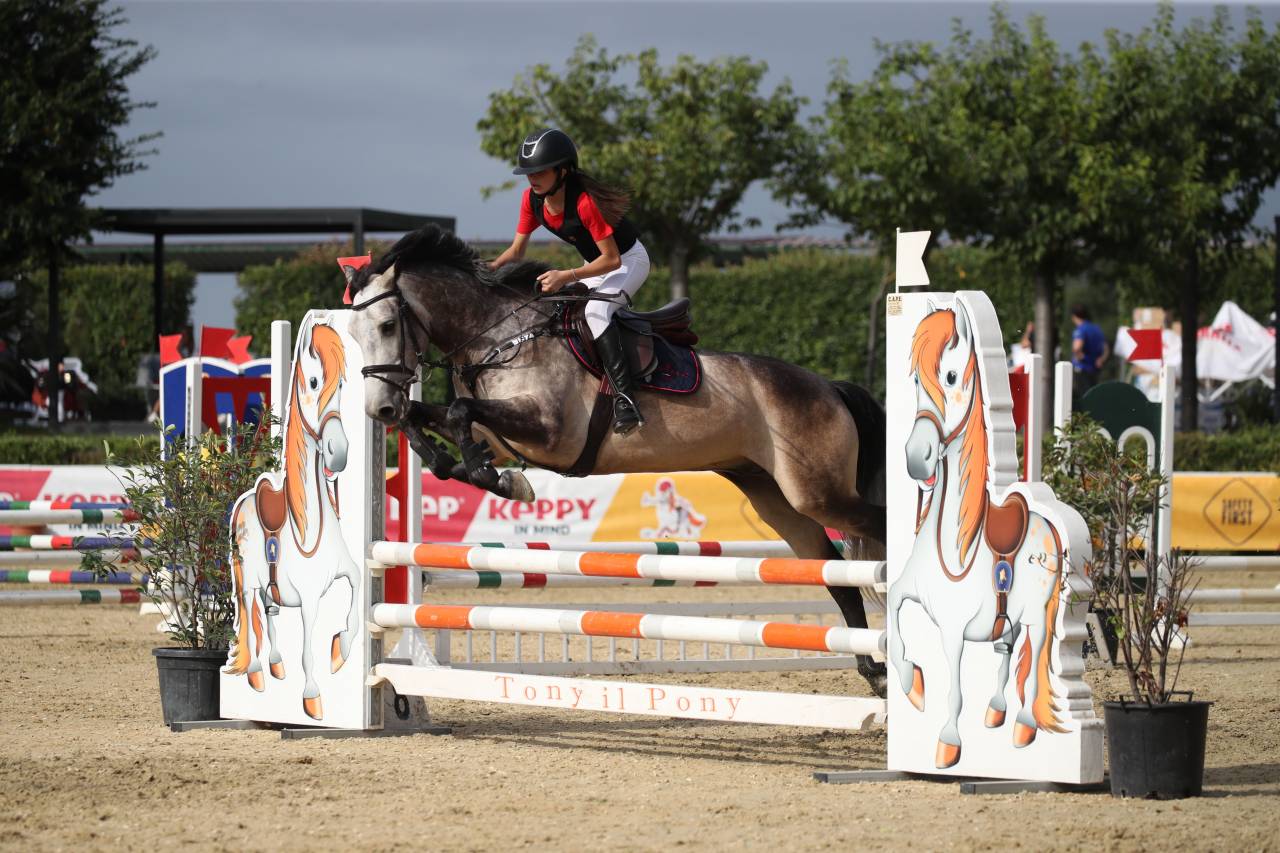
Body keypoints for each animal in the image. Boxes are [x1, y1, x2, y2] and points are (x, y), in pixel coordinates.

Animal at [224, 317, 361, 721]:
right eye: (314, 382)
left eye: (342, 385)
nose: (338, 452)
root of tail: (245, 499)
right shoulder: (310, 599)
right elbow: (307, 651)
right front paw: (313, 697)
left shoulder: (348, 571)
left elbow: (357, 596)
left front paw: (340, 652)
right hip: (246, 582)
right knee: (251, 618)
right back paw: (256, 672)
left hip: (267, 587)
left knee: (267, 614)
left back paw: (275, 663)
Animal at [344, 225, 890, 695]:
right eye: (353, 334)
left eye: (388, 325)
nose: (377, 408)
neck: (499, 336)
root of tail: (829, 387)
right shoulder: (501, 434)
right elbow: (430, 420)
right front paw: (478, 471)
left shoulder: (550, 432)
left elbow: (459, 413)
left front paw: (490, 476)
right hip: (776, 497)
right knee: (837, 577)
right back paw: (875, 672)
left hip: (818, 492)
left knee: (873, 534)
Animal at [888, 298, 1068, 768]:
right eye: (916, 380)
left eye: (951, 377)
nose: (916, 457)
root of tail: (1047, 524)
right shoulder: (905, 591)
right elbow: (891, 622)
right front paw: (913, 685)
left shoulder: (952, 631)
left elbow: (954, 691)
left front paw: (948, 742)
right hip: (1010, 621)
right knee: (1007, 653)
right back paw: (997, 709)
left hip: (1038, 617)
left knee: (1035, 661)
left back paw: (1023, 724)